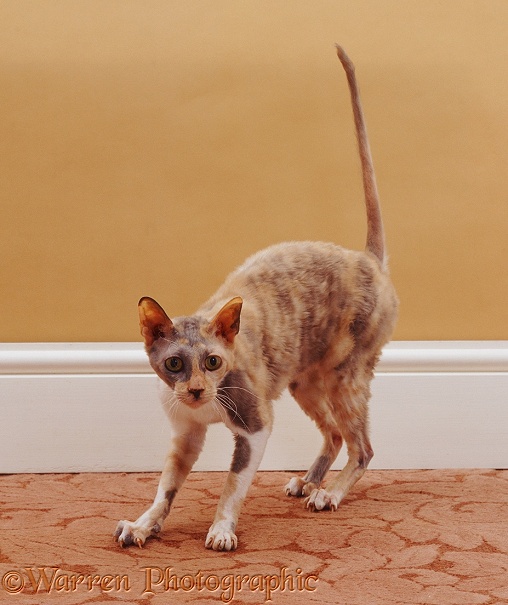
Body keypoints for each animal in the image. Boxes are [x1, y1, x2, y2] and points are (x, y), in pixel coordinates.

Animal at [114, 44, 396, 548]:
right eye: (174, 363)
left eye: (213, 361)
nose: (196, 389)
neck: (205, 408)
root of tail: (367, 259)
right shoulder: (185, 435)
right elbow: (165, 487)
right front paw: (144, 525)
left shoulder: (255, 423)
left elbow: (232, 483)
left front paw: (222, 530)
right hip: (305, 379)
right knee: (335, 435)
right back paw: (309, 481)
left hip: (347, 374)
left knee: (362, 445)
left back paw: (330, 493)